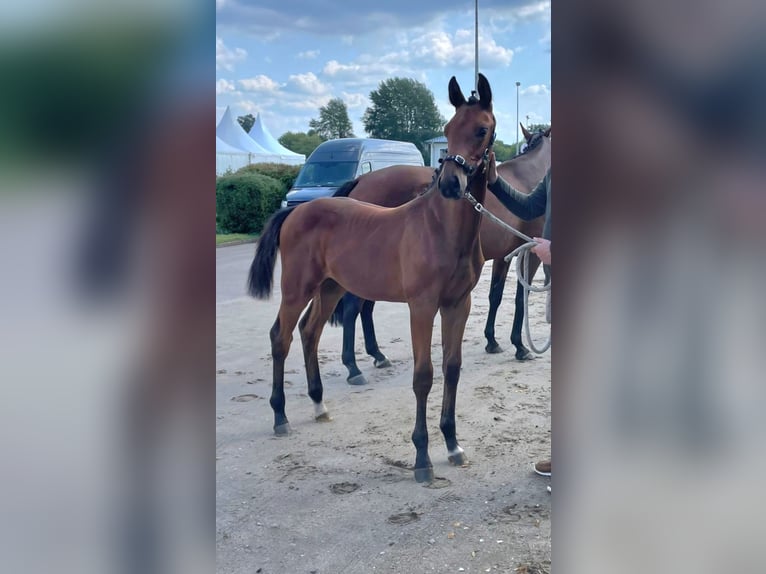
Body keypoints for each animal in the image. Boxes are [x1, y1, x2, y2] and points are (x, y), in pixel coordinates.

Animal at [248, 74, 498, 484]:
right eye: (447, 130)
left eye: (482, 129)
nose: (450, 184)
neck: (441, 230)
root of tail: (295, 212)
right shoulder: (422, 306)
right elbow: (424, 375)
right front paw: (422, 458)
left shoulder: (458, 304)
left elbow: (452, 368)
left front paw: (452, 444)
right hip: (297, 288)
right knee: (280, 337)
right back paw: (280, 416)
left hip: (331, 287)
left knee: (310, 332)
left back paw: (318, 404)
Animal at [330, 126, 552, 388]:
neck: (527, 176)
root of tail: (361, 180)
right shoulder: (530, 253)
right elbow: (520, 298)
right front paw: (519, 346)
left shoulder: (503, 256)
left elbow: (495, 296)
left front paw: (492, 341)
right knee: (353, 309)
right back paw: (353, 367)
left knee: (366, 308)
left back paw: (377, 355)